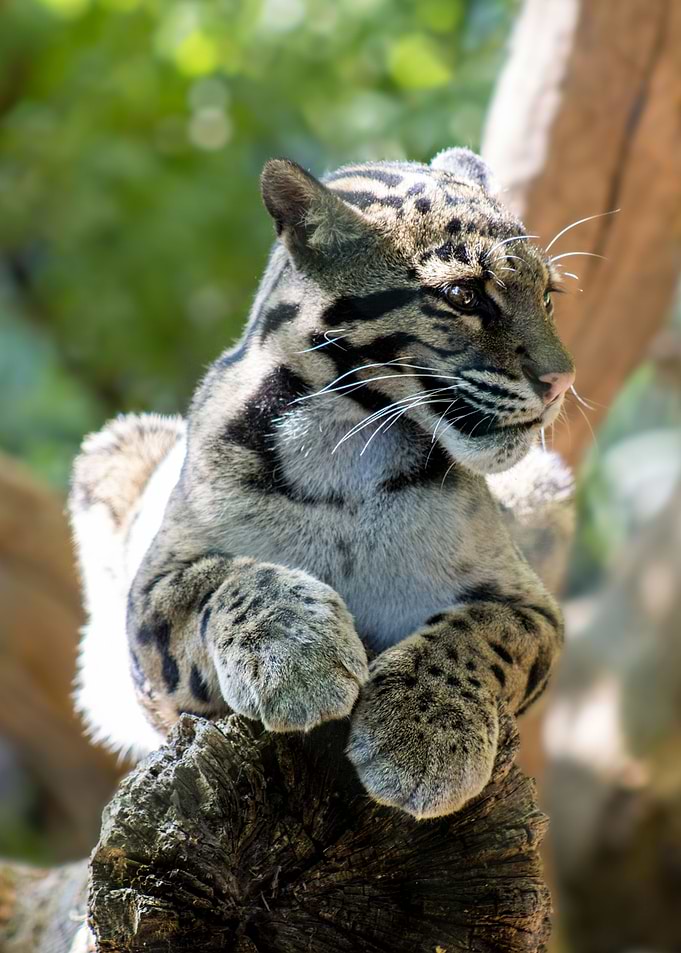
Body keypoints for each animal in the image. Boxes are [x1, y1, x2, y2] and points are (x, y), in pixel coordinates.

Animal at [69, 147, 575, 819]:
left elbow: (481, 633)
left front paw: (421, 736)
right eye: (464, 295)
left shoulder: (530, 601)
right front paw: (296, 657)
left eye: (548, 296)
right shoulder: (149, 599)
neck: (347, 447)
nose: (562, 380)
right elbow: (222, 580)